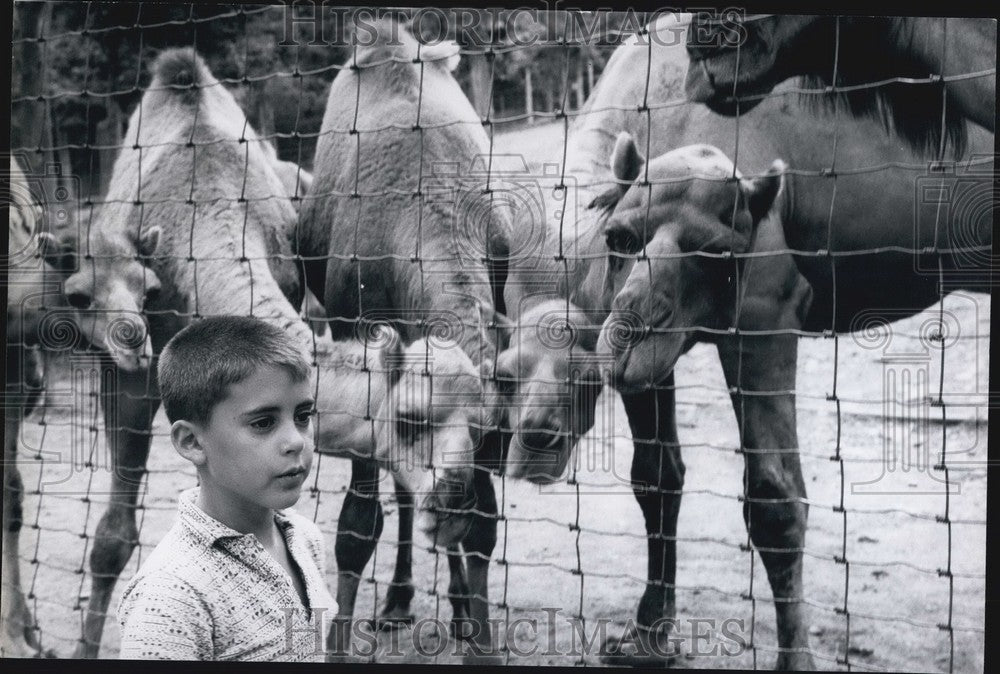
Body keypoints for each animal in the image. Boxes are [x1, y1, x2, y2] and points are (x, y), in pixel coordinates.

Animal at [298, 17, 512, 656]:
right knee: (399, 491)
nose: (453, 497)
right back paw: (396, 600)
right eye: (414, 416)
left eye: (491, 434)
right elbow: (356, 525)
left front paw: (476, 630)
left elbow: (483, 530)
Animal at [500, 13, 992, 668]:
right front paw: (647, 636)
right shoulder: (644, 353)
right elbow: (656, 476)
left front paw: (794, 658)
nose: (536, 440)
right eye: (503, 374)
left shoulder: (763, 317)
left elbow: (775, 501)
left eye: (719, 252)